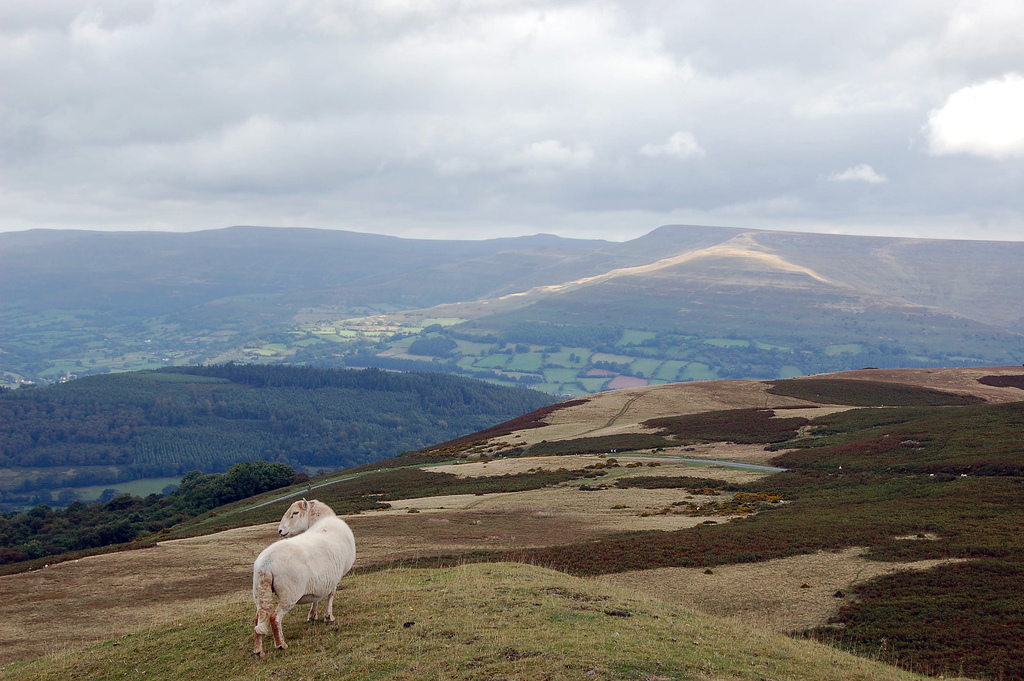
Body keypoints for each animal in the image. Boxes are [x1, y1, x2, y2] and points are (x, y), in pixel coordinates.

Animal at [251, 501, 356, 655]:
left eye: (295, 513)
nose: (280, 531)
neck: (323, 520)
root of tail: (265, 564)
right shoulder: (334, 576)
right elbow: (331, 594)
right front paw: (328, 616)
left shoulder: (321, 580)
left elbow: (317, 597)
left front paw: (312, 616)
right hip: (289, 593)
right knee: (274, 617)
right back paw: (281, 644)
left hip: (260, 592)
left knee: (259, 618)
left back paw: (258, 650)